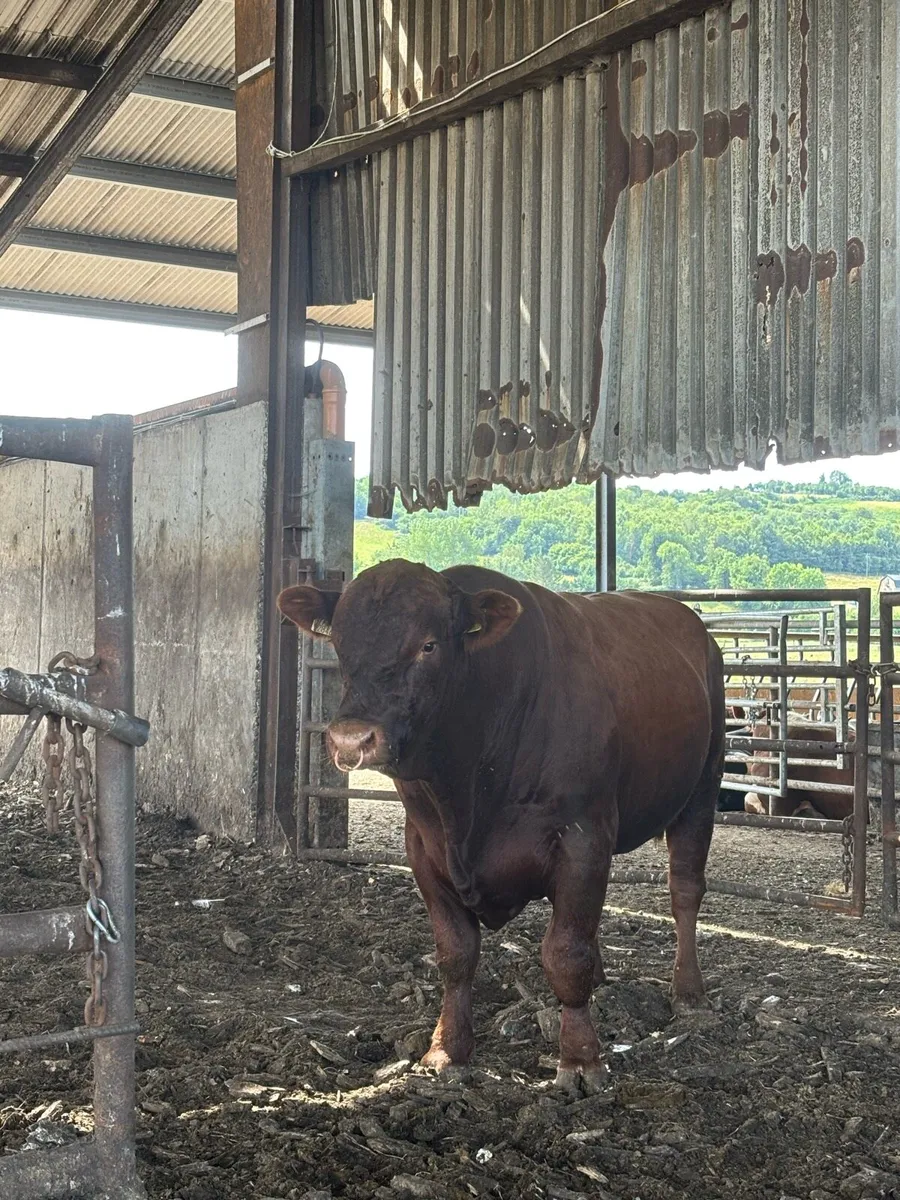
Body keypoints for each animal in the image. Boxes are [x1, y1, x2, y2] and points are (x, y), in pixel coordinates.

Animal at [278, 560, 725, 1094]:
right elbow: (456, 953)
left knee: (684, 890)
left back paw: (689, 991)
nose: (351, 739)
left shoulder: (583, 837)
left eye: (429, 645)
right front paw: (447, 1049)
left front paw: (580, 1059)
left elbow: (564, 952)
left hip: (702, 789)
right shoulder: (424, 847)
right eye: (341, 645)